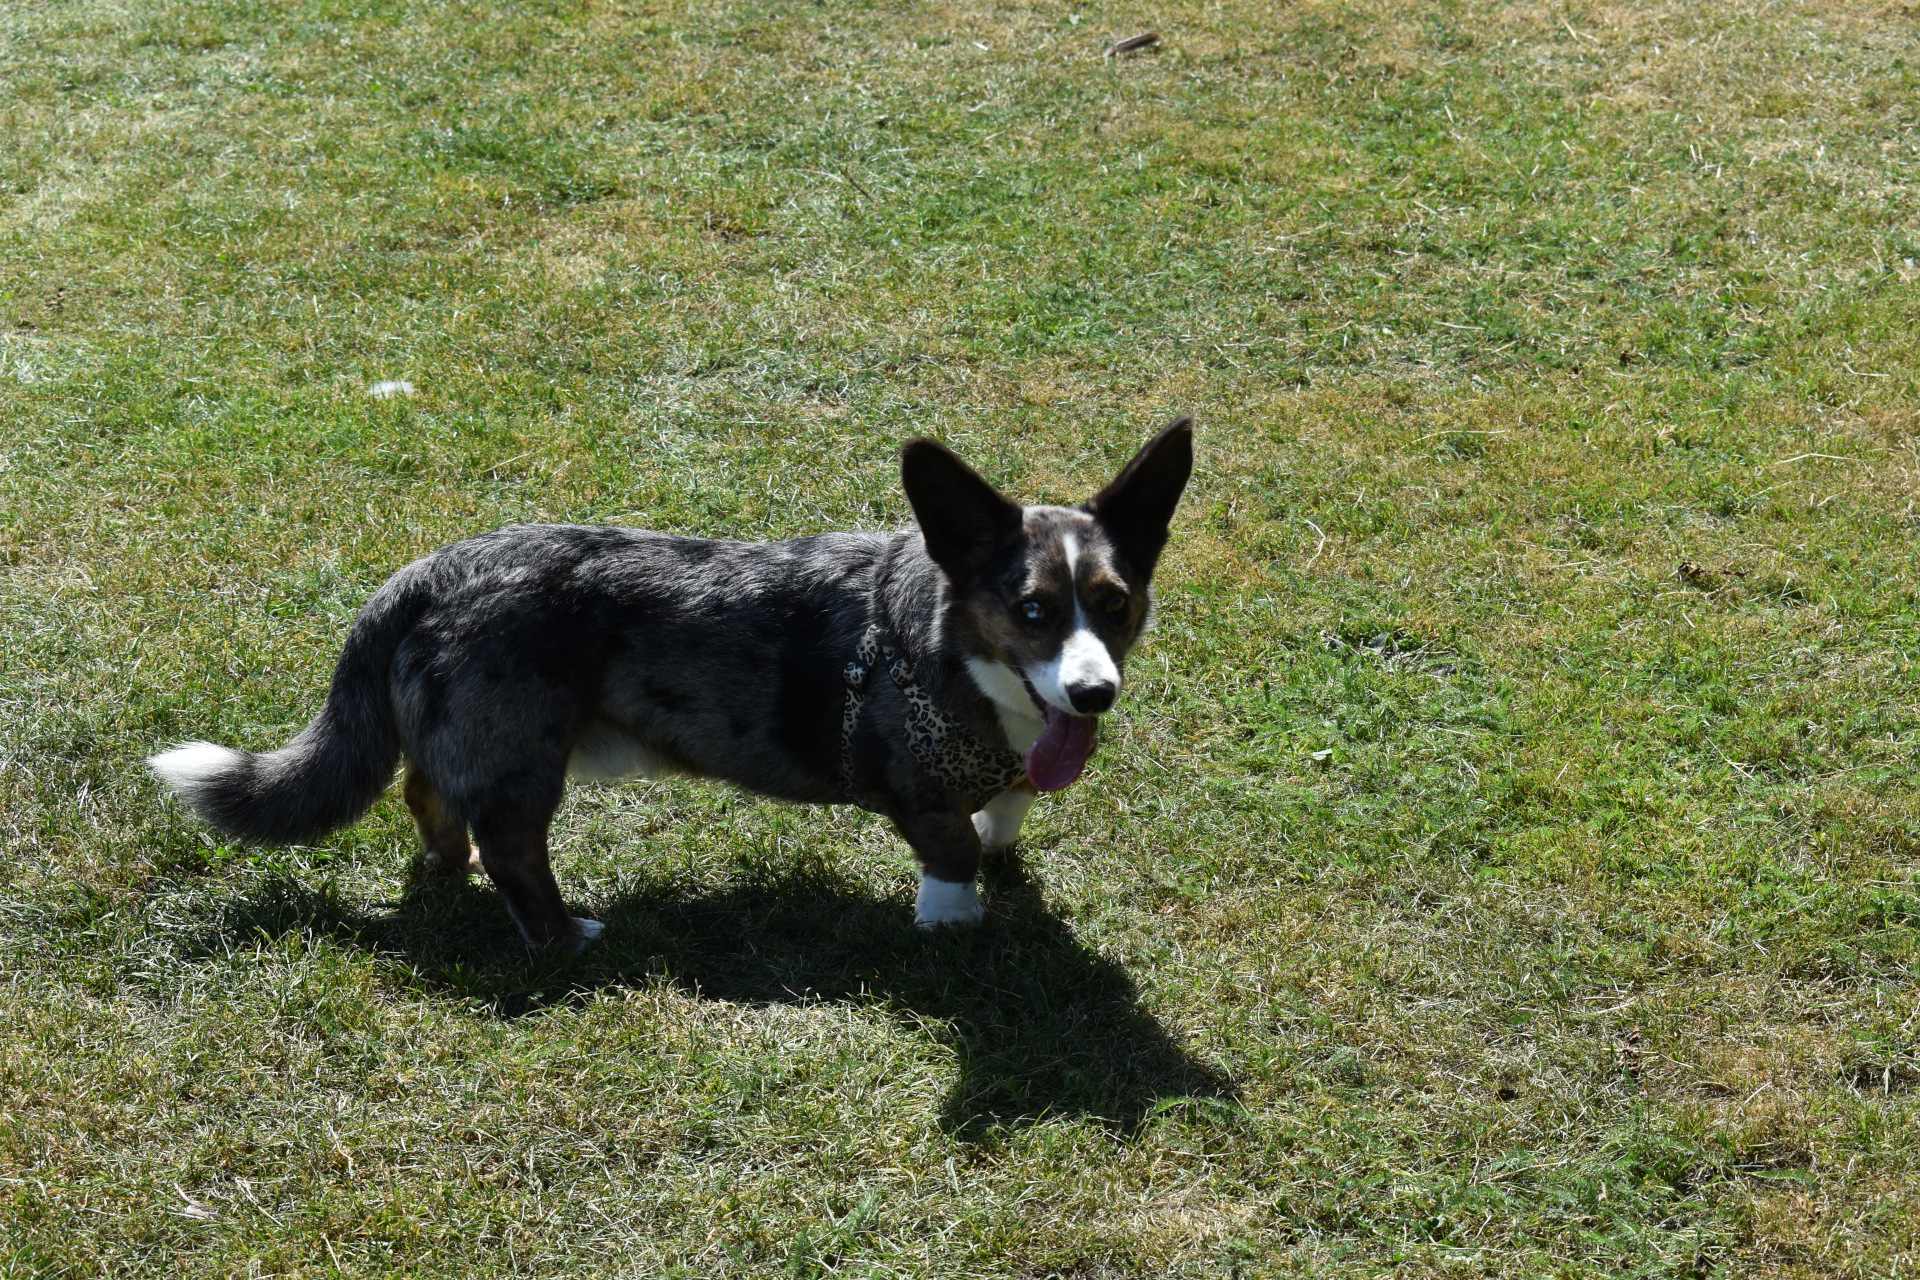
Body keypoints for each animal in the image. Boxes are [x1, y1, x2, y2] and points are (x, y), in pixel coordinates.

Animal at [149, 420, 1190, 951]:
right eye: (1032, 609)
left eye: (1115, 602)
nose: (1094, 695)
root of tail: (424, 575)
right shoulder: (917, 792)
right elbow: (954, 852)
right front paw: (954, 925)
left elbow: (1003, 815)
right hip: (525, 757)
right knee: (516, 845)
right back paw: (565, 935)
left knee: (426, 791)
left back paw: (455, 866)